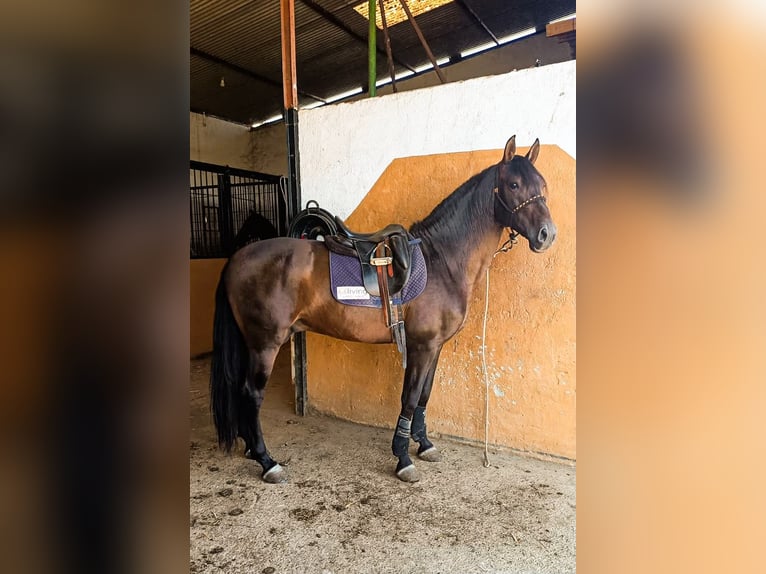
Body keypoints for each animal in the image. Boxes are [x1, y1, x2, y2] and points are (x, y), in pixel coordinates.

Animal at [210, 135, 557, 483]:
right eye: (513, 184)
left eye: (543, 184)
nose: (547, 234)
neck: (441, 261)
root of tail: (237, 258)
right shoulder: (420, 346)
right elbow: (410, 398)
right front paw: (403, 458)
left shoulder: (435, 348)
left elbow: (425, 395)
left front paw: (424, 444)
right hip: (265, 343)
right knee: (252, 394)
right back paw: (267, 461)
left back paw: (251, 448)